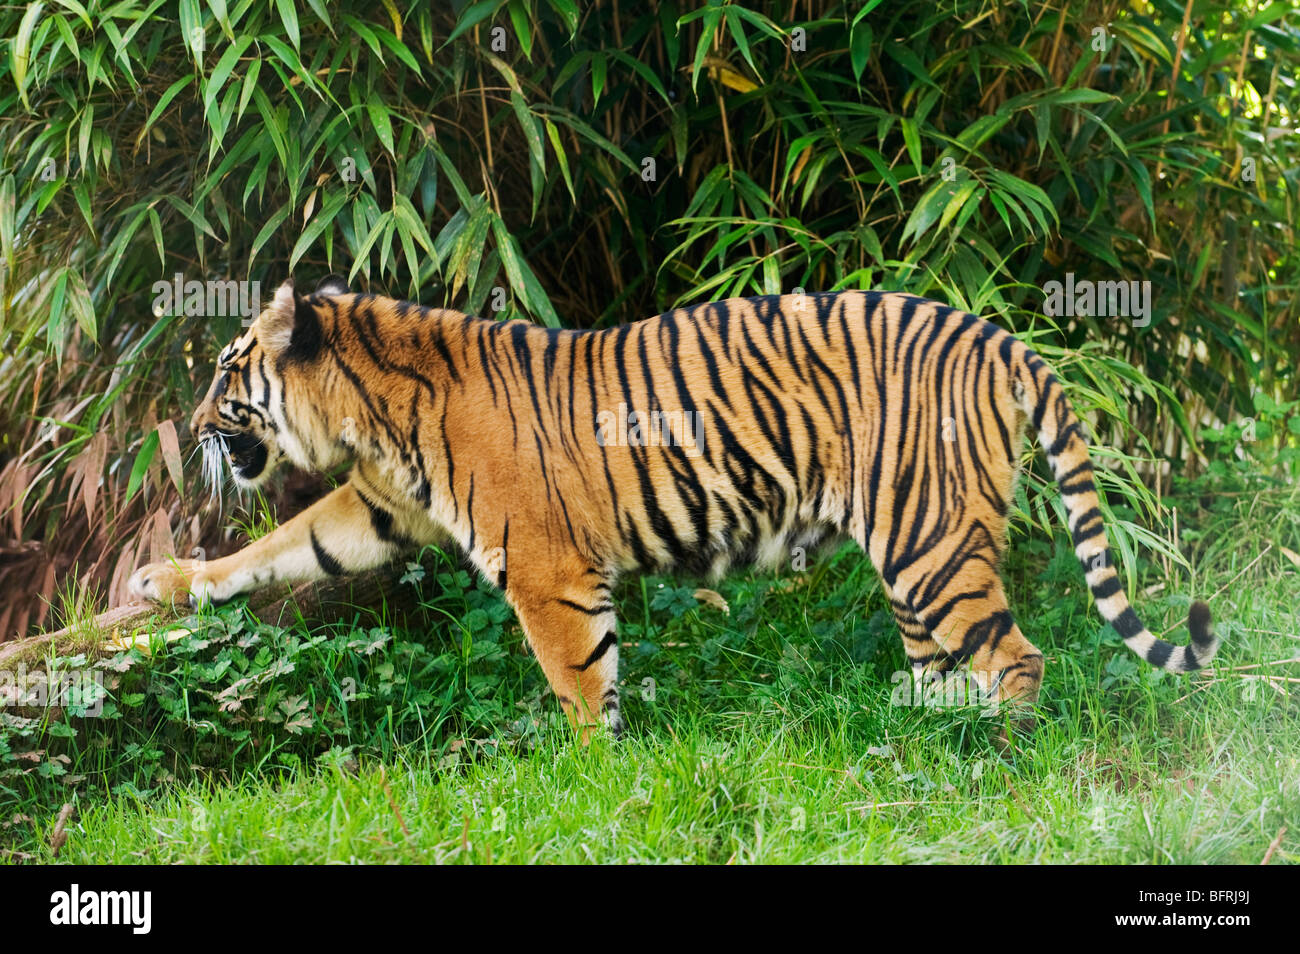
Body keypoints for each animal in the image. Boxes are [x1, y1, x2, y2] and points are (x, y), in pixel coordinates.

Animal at [126, 276, 1211, 738]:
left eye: (226, 373)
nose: (190, 424)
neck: (370, 410)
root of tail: (998, 337)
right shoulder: (381, 508)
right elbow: (284, 546)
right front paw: (168, 580)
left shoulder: (546, 572)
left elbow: (579, 686)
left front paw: (588, 778)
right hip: (918, 558)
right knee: (946, 665)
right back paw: (919, 748)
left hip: (928, 539)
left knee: (1018, 660)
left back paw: (997, 763)